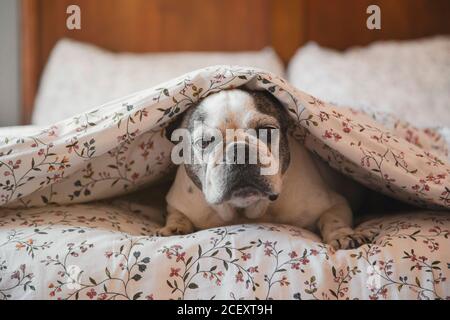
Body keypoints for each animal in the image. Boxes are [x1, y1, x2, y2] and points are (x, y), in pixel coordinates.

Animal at [158, 88, 372, 250]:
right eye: (204, 142)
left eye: (267, 131)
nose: (239, 151)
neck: (245, 211)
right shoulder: (180, 203)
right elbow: (176, 215)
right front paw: (174, 228)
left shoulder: (333, 203)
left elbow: (332, 217)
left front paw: (342, 235)